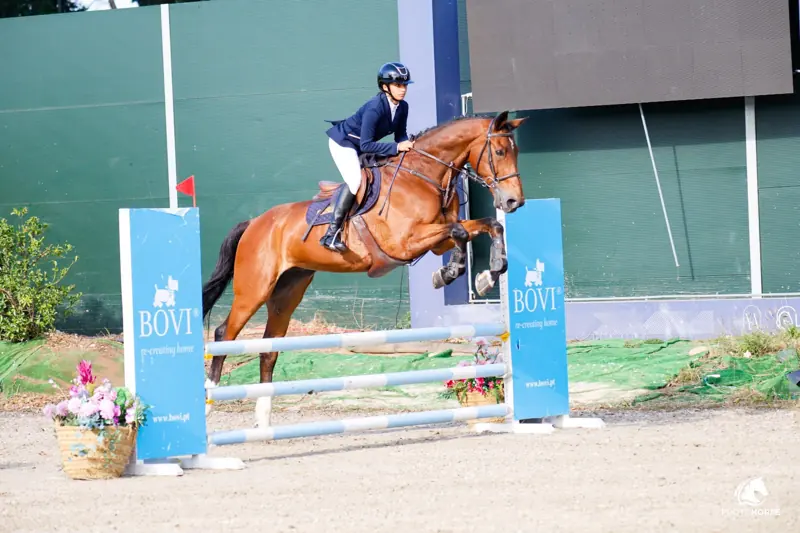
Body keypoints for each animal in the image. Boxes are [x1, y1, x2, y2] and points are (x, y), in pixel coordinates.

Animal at [201, 110, 527, 426]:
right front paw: (449, 273)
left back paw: (264, 417)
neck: (424, 176)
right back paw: (209, 400)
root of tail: (253, 223)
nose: (514, 201)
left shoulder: (436, 241)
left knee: (269, 349)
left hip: (287, 293)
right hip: (254, 289)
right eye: (499, 151)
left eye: (516, 151)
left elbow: (486, 226)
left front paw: (488, 274)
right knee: (223, 334)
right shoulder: (405, 243)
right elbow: (459, 231)